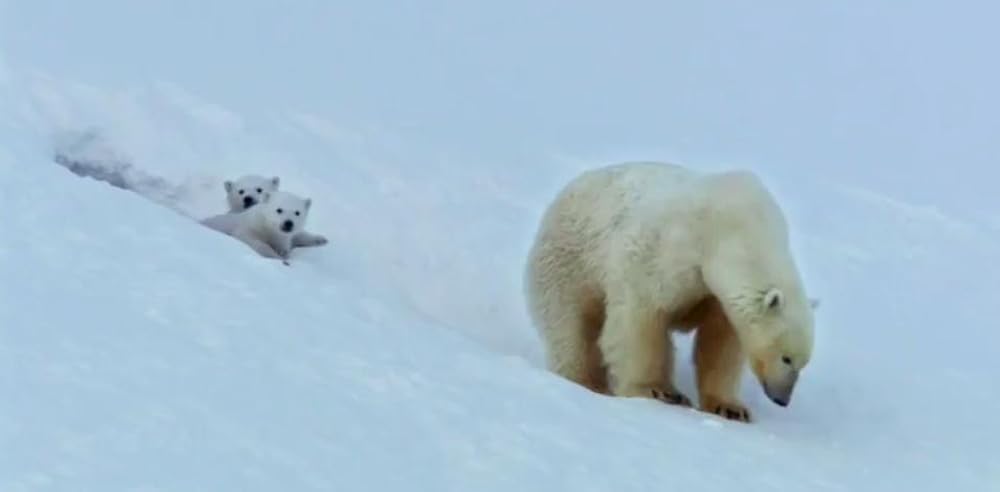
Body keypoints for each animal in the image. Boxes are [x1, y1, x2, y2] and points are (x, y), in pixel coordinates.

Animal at [523, 161, 816, 423]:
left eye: (802, 363)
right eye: (786, 358)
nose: (782, 399)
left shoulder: (716, 298)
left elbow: (720, 344)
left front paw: (730, 408)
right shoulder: (669, 253)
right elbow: (641, 318)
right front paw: (658, 391)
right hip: (568, 262)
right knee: (571, 327)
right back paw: (586, 381)